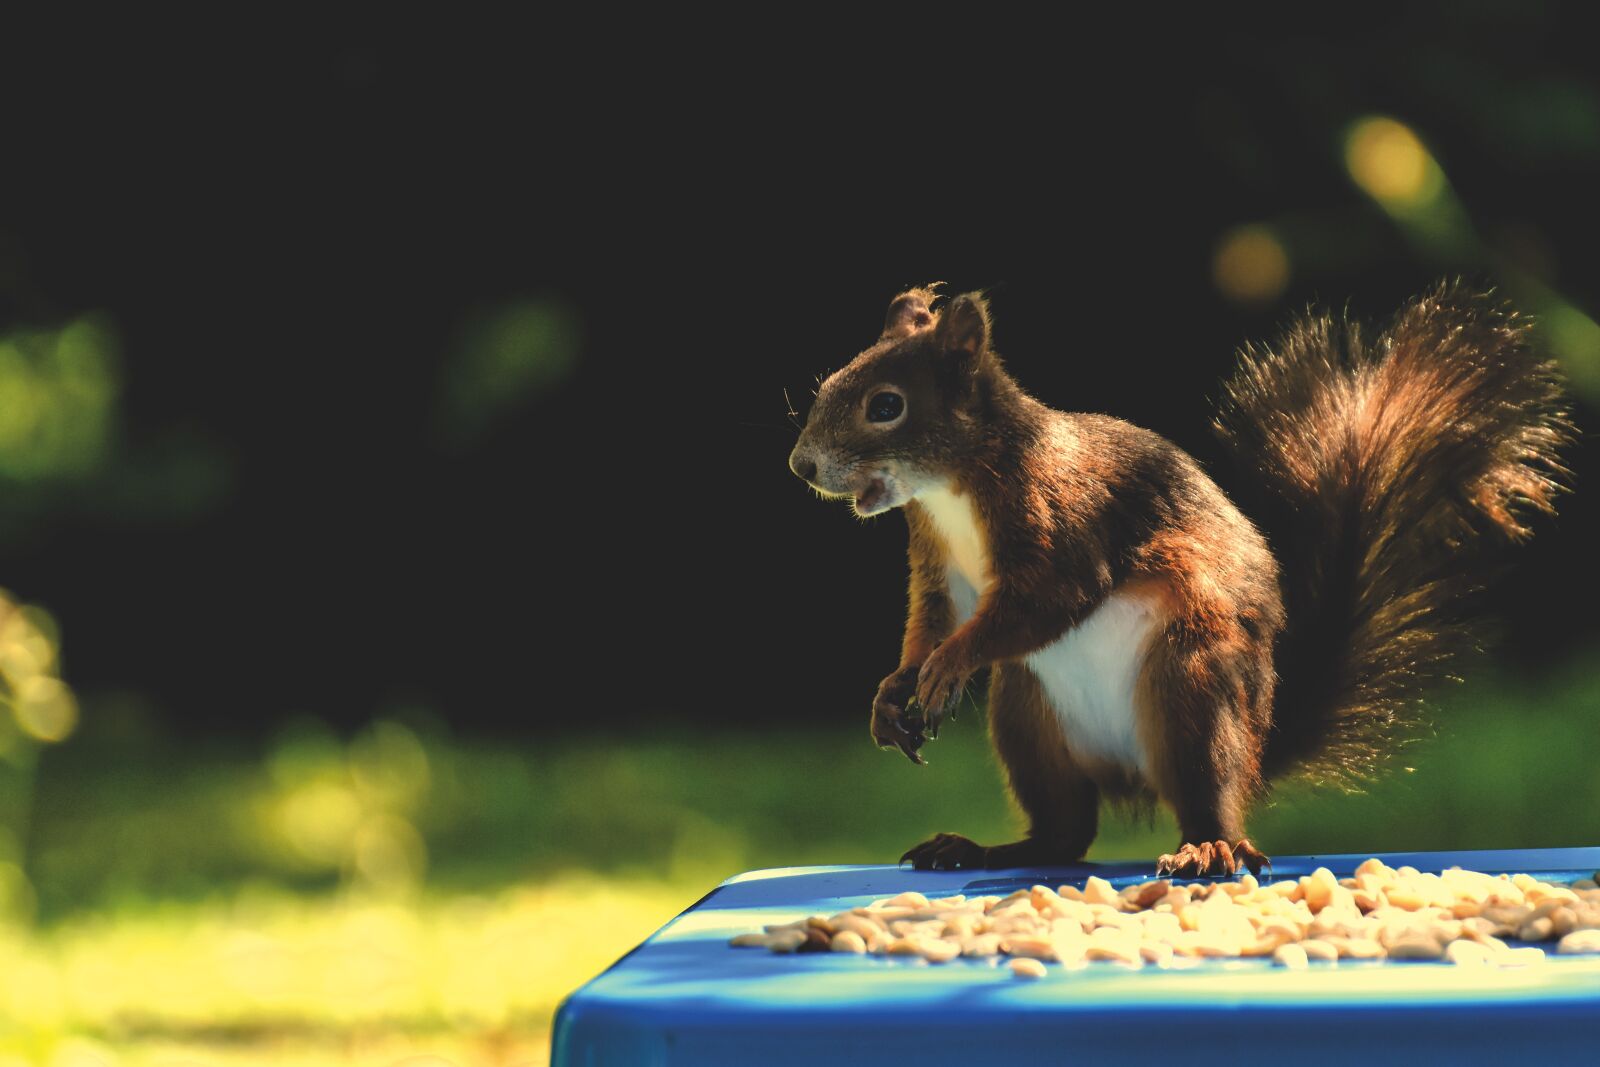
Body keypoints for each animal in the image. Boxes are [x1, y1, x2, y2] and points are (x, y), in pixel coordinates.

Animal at [787, 282, 1570, 877]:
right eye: (827, 387)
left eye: (886, 405)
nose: (802, 465)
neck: (955, 483)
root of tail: (1137, 775)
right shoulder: (938, 564)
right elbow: (933, 618)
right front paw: (894, 690)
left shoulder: (1061, 518)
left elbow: (1046, 599)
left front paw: (949, 665)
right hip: (1026, 713)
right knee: (1066, 834)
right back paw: (983, 849)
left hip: (1192, 682)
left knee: (1203, 801)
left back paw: (1208, 848)